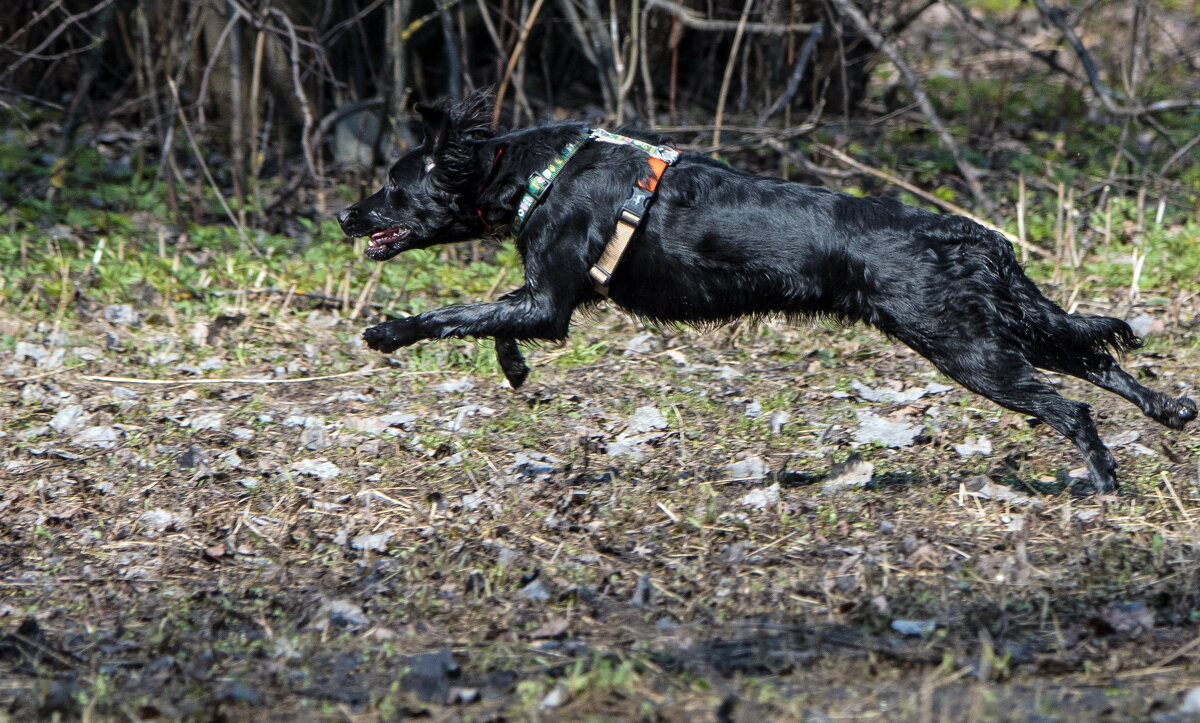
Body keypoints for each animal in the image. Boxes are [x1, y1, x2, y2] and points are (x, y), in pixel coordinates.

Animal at [338, 90, 1190, 492]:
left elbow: (456, 315)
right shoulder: (544, 296)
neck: (527, 170)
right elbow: (492, 319)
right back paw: (1170, 408)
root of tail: (965, 233)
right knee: (1094, 357)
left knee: (1069, 403)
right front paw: (513, 366)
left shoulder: (550, 299)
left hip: (964, 343)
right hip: (993, 324)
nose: (346, 214)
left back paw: (1102, 479)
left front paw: (386, 331)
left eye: (393, 186)